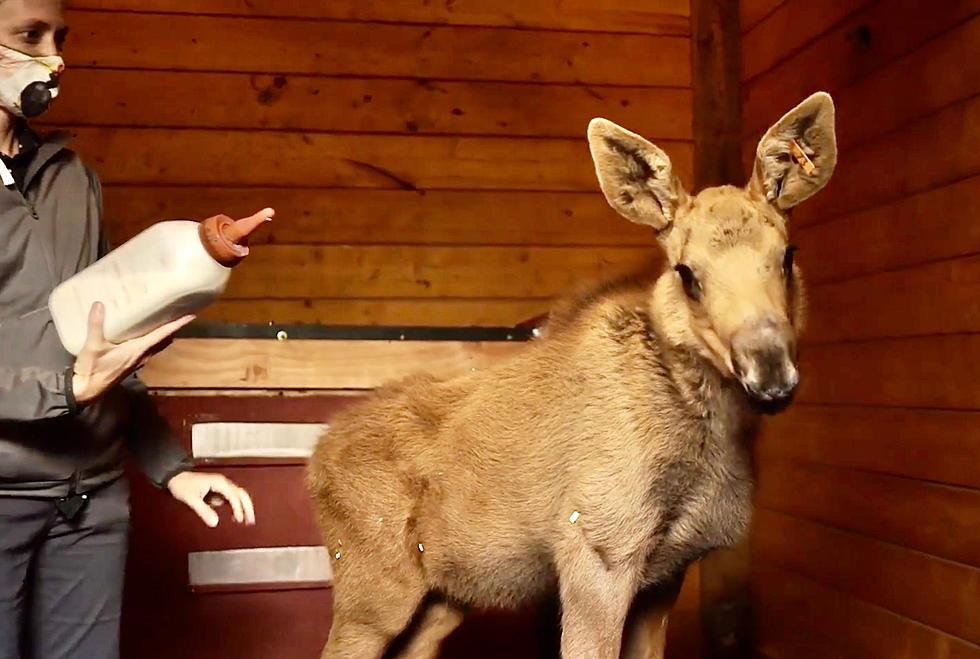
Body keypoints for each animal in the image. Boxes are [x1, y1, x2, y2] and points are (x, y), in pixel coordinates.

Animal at [306, 93, 836, 659]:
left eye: (787, 255)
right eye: (686, 272)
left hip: (442, 598)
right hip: (371, 591)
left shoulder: (665, 573)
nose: (770, 371)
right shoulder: (598, 549)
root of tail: (315, 465)